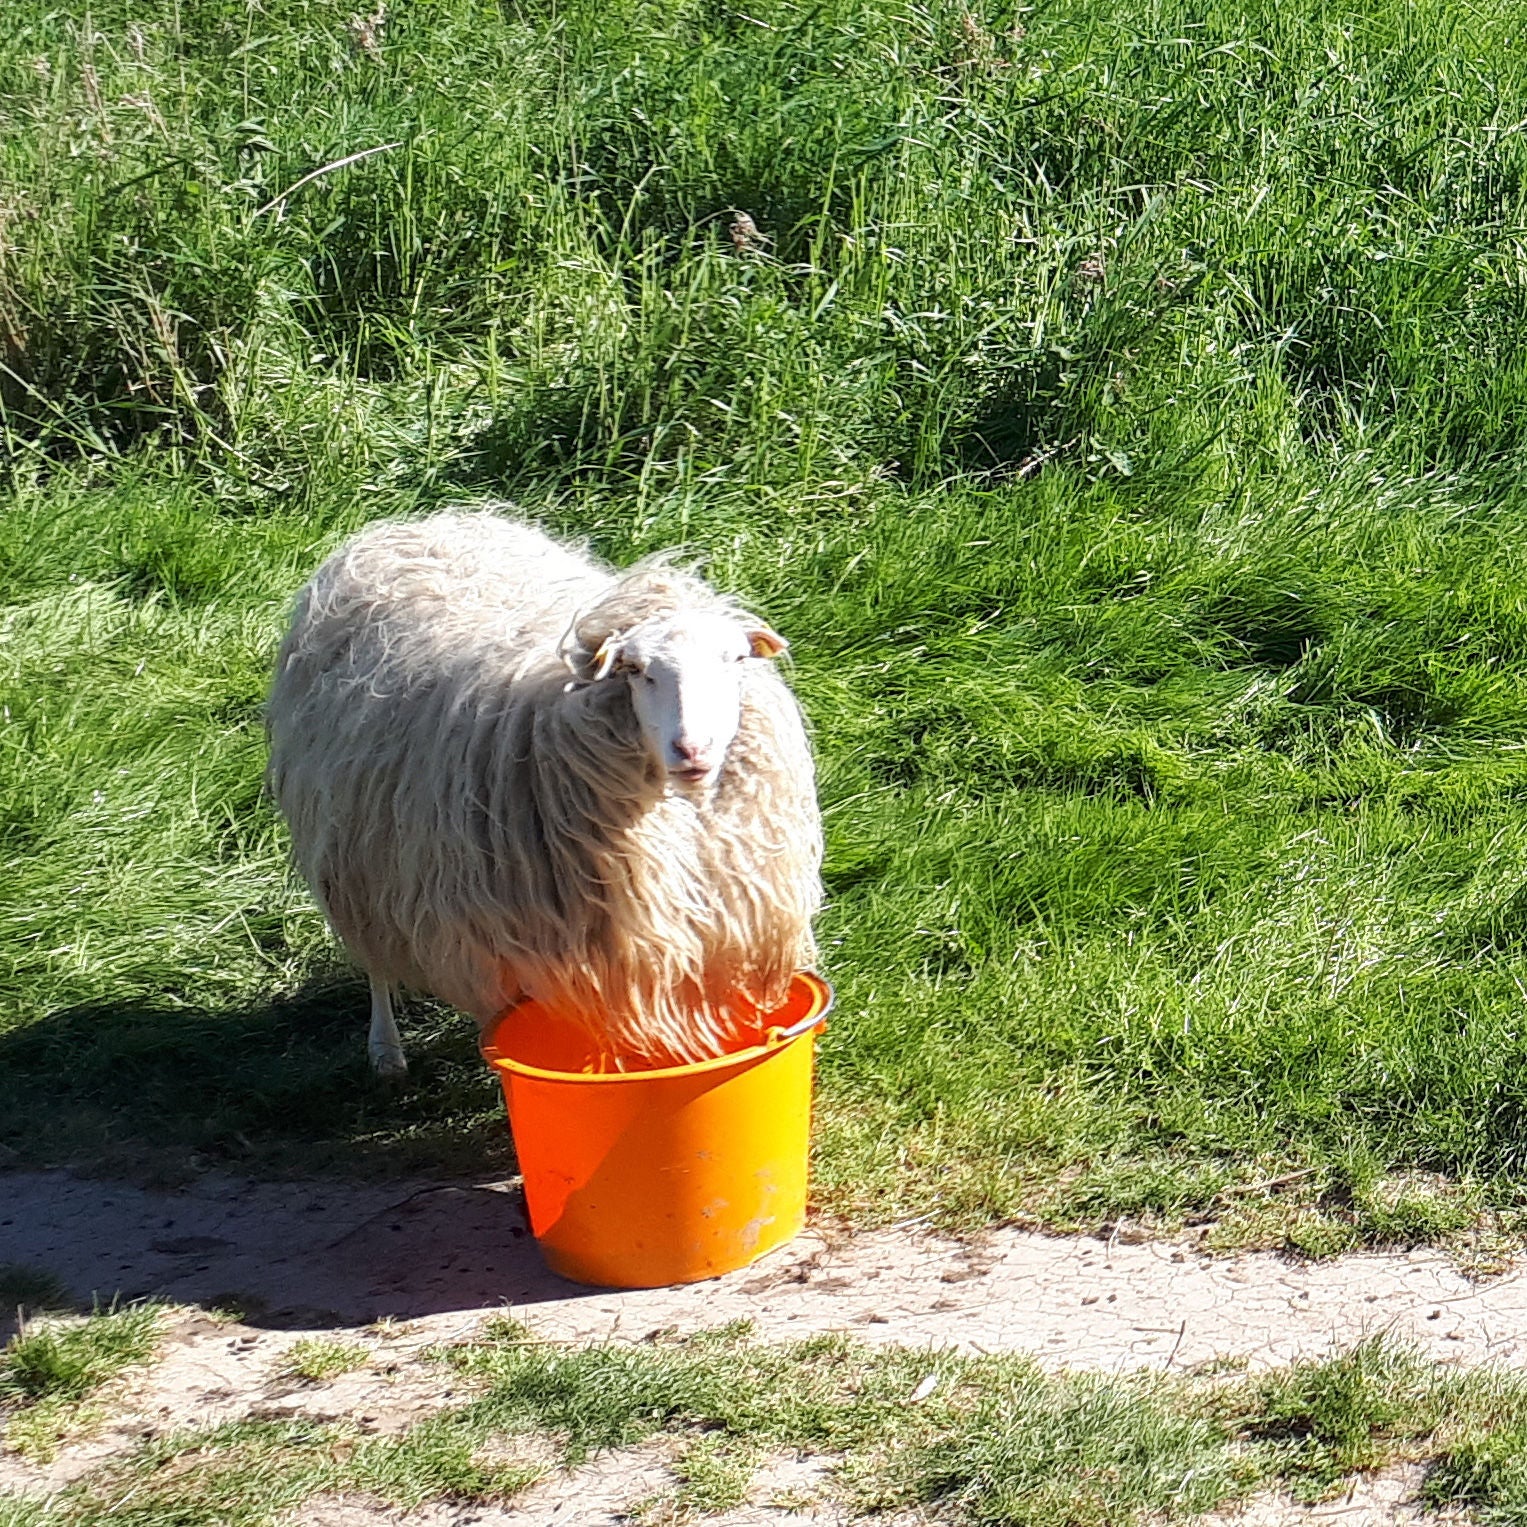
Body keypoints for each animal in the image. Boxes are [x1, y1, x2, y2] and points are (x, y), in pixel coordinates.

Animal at [265, 509, 823, 1076]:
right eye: (636, 671)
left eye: (736, 659)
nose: (692, 749)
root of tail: (411, 525)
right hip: (353, 849)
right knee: (375, 958)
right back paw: (386, 1050)